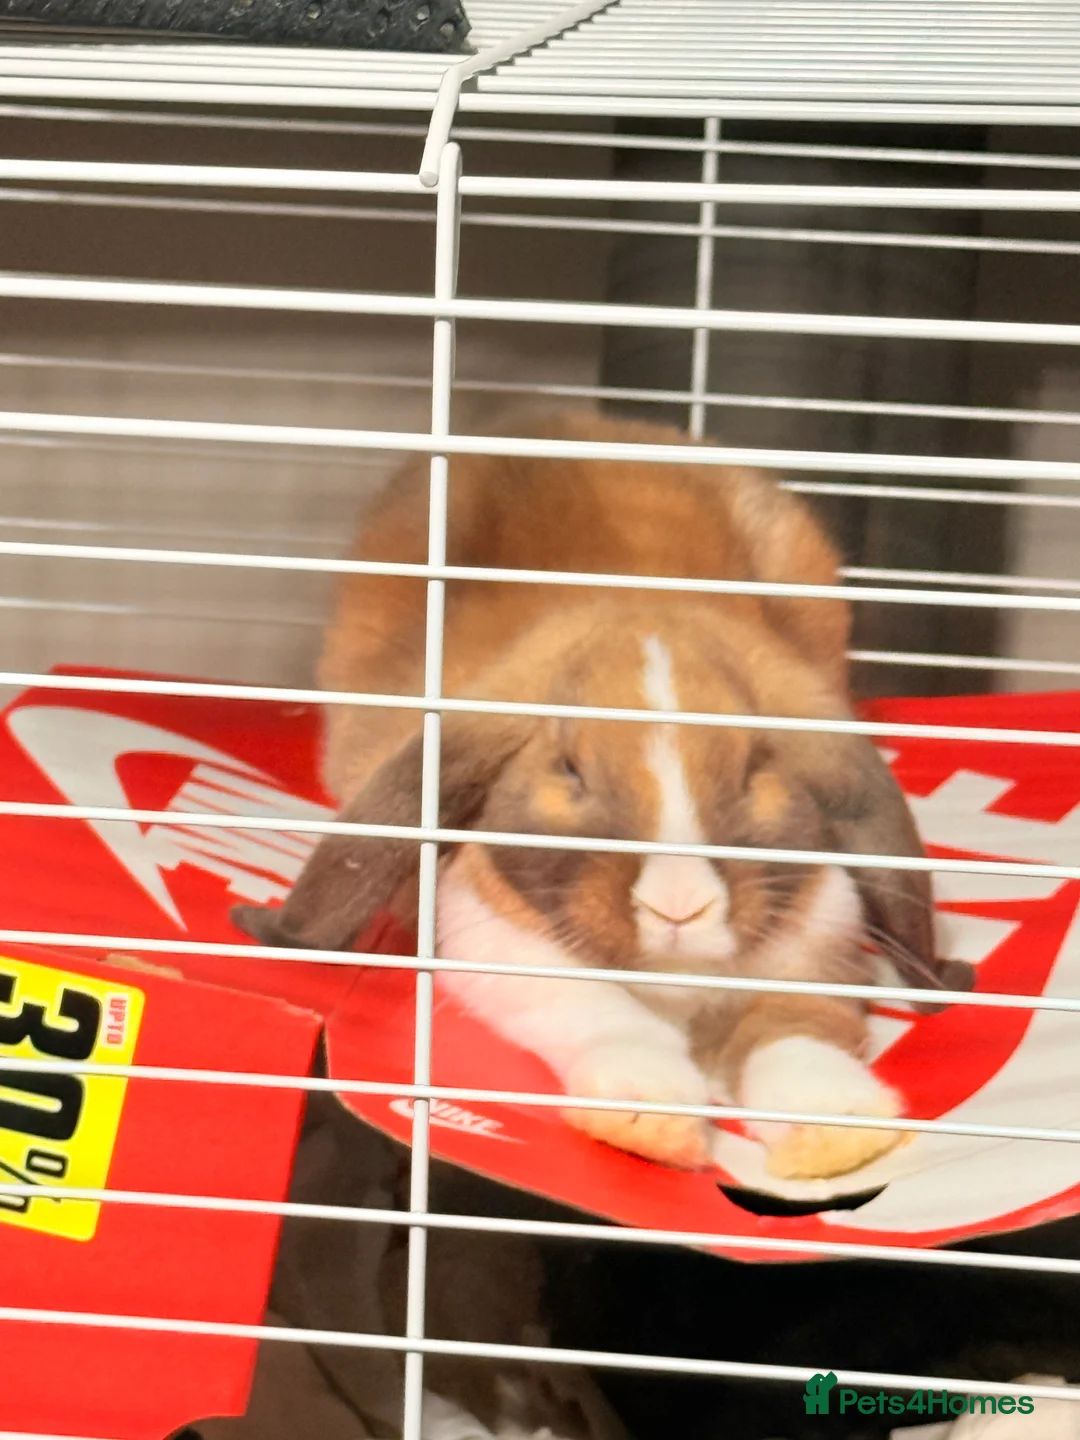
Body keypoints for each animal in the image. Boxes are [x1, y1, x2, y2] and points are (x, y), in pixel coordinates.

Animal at [233, 410, 971, 1181]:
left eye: (754, 766)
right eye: (570, 767)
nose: (679, 907)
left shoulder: (815, 958)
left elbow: (796, 1035)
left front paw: (838, 1132)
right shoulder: (508, 955)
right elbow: (608, 1018)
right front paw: (649, 1117)